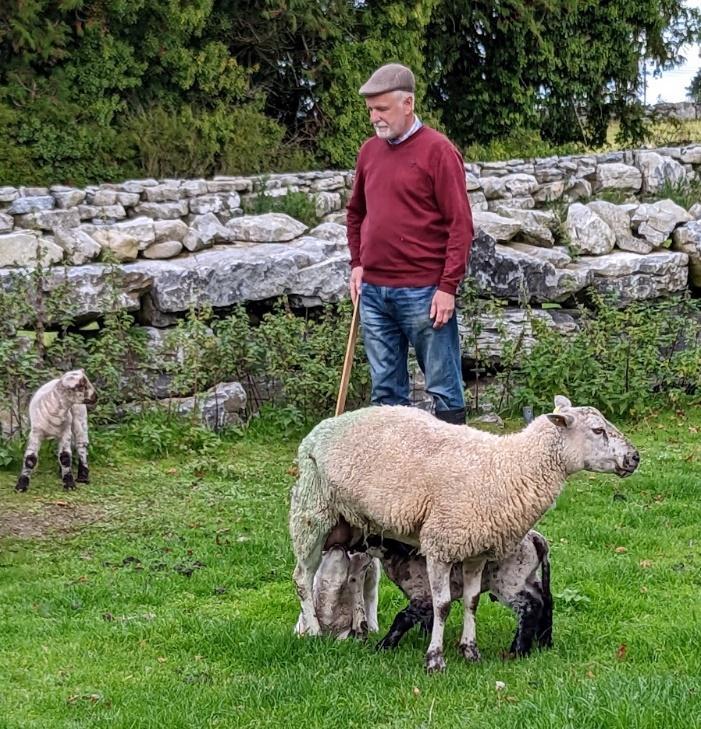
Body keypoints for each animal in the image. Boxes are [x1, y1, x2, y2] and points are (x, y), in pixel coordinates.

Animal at [288, 398, 636, 672]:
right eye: (598, 430)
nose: (634, 458)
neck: (506, 469)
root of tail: (323, 426)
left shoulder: (477, 550)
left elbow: (471, 602)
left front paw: (470, 650)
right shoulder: (440, 545)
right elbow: (442, 606)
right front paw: (435, 658)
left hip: (355, 526)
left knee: (360, 576)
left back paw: (359, 627)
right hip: (311, 514)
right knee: (303, 577)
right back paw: (314, 630)